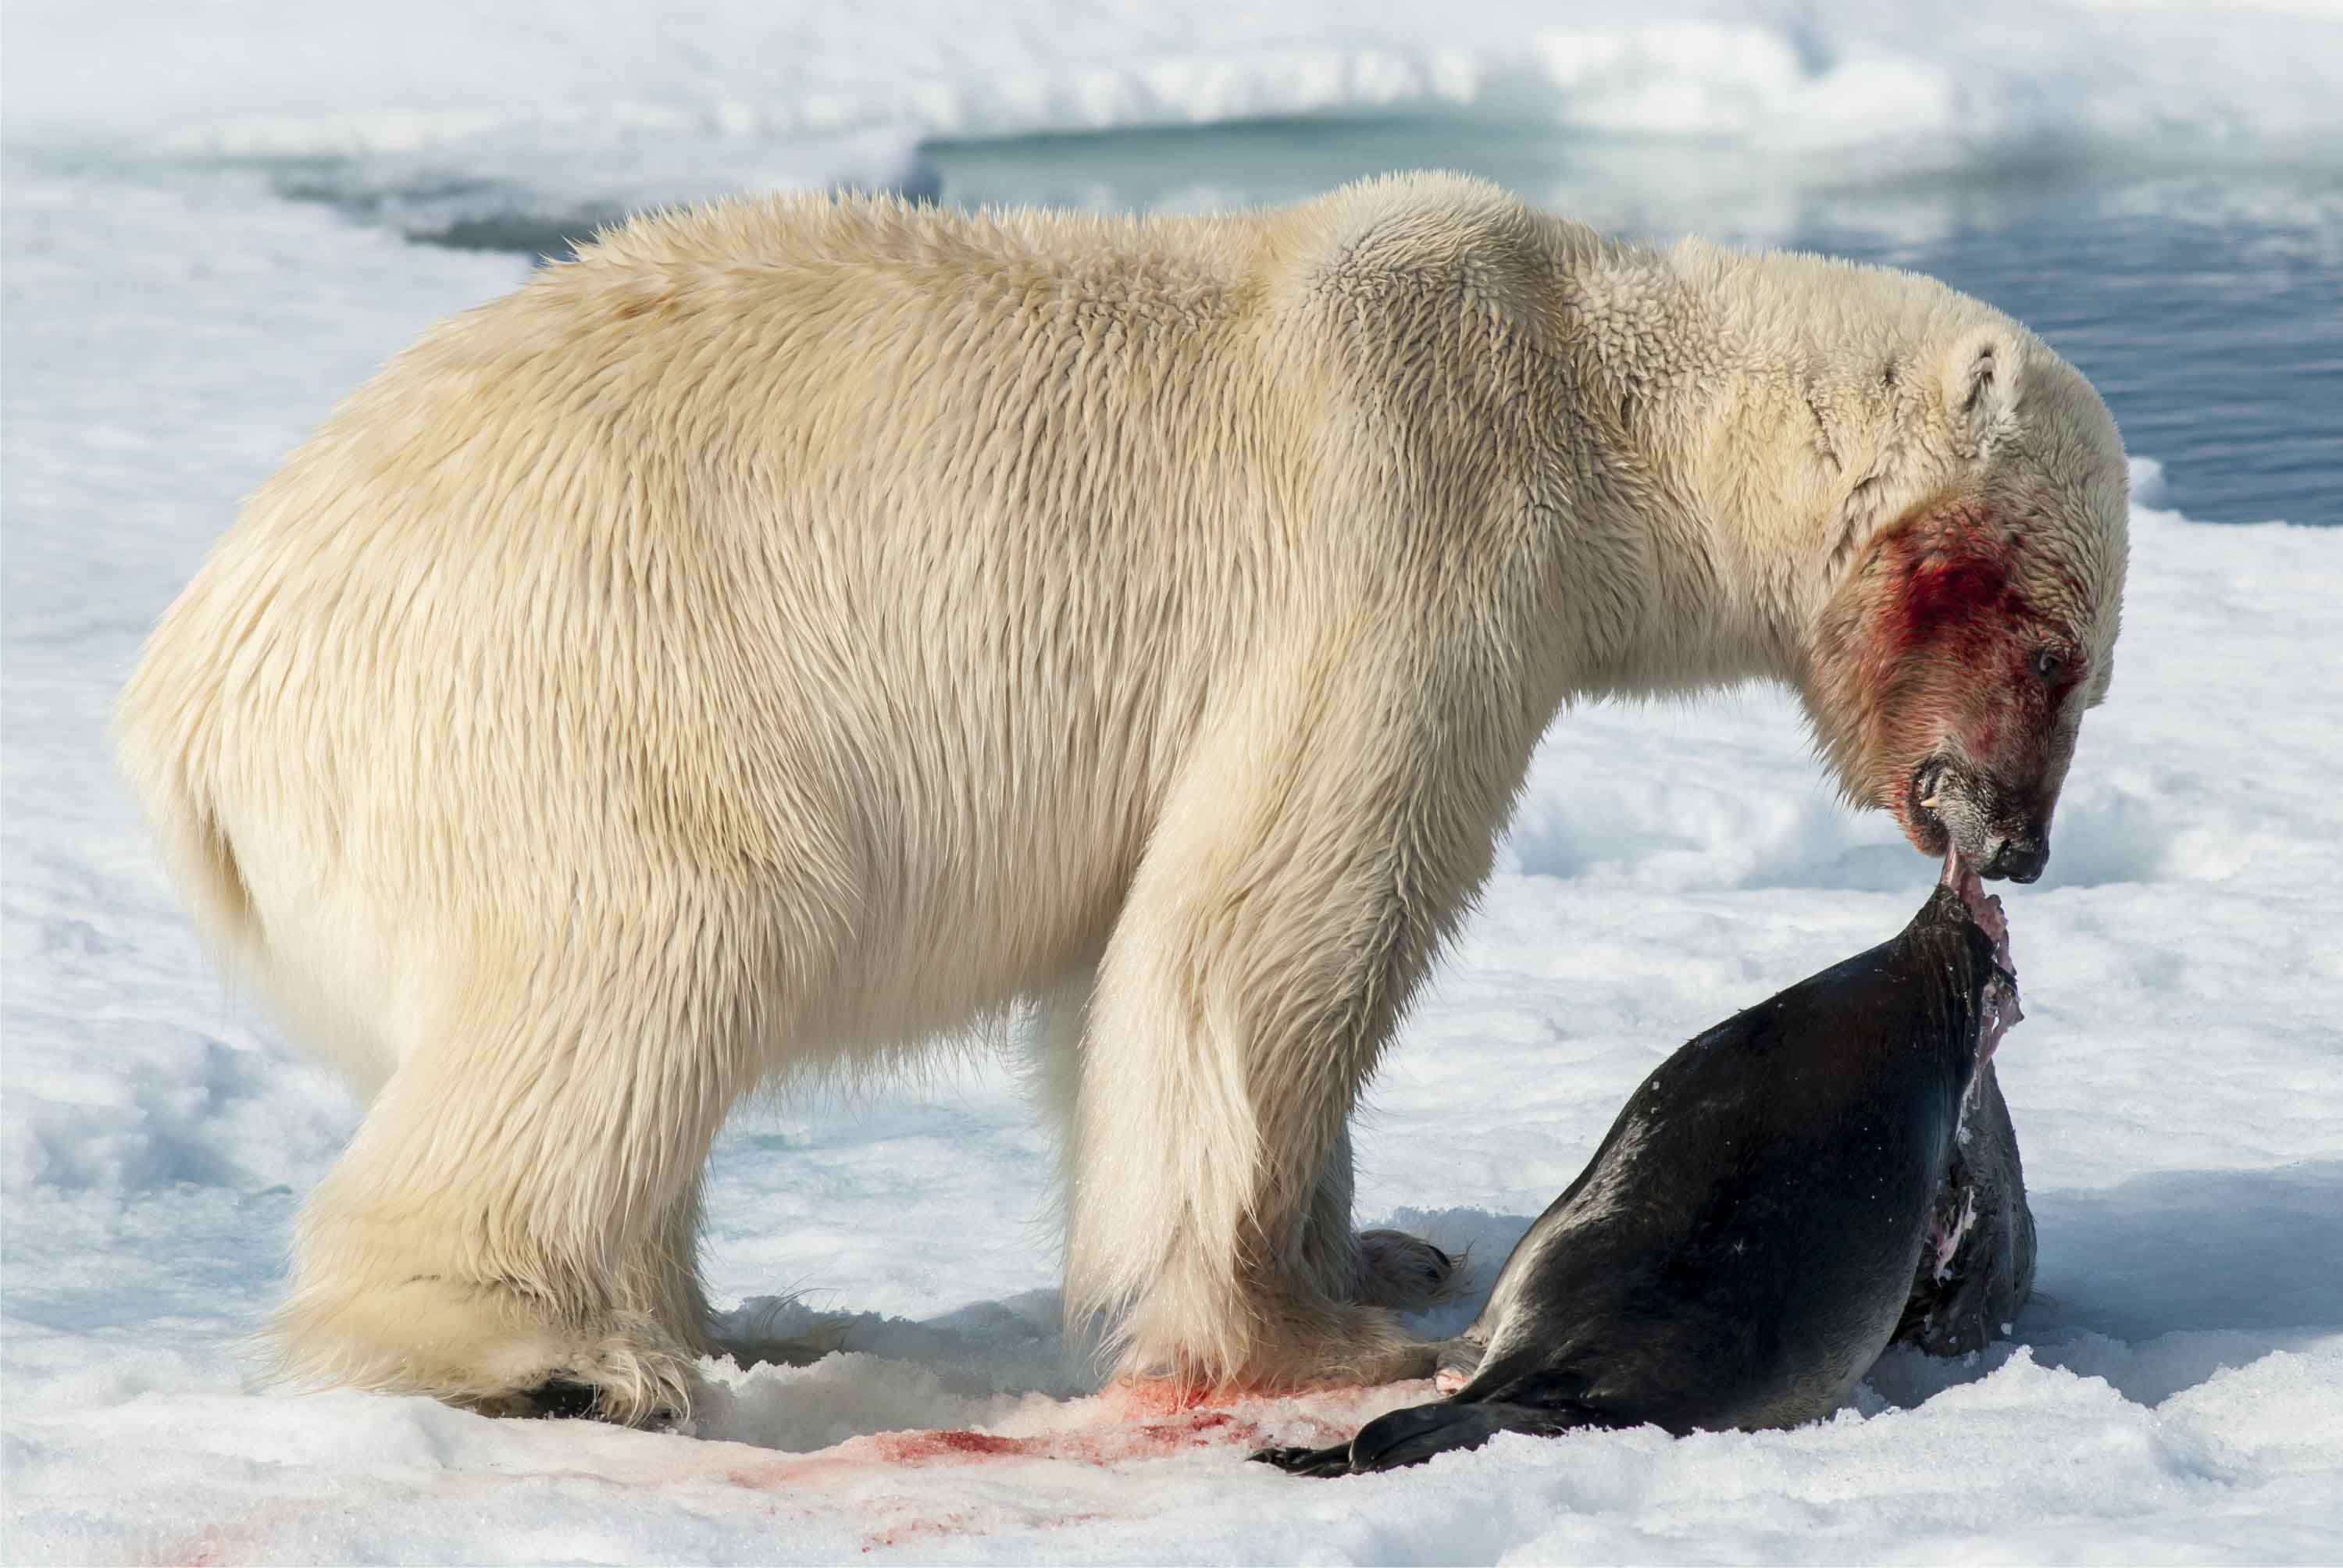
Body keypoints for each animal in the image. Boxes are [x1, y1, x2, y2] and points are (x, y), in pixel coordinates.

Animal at [114, 173, 2128, 1425]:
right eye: (2051, 647)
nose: (2018, 843)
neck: (1581, 383)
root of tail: (190, 700)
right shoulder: (1408, 518)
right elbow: (1263, 920)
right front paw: (1316, 1329)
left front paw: (1378, 1240)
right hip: (565, 697)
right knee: (657, 950)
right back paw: (558, 1356)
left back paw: (734, 1312)